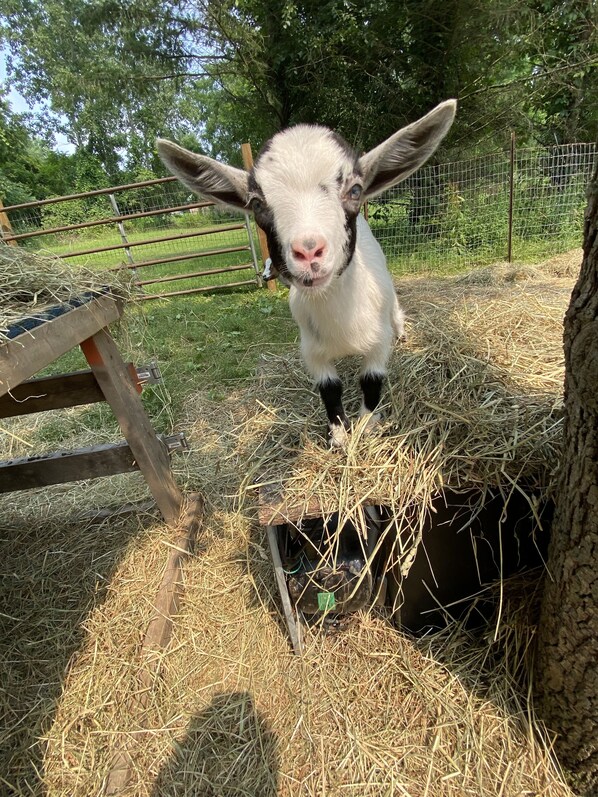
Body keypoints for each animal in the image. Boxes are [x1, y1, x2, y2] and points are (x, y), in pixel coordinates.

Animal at [157, 99, 458, 442]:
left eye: (355, 190)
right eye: (256, 204)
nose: (309, 250)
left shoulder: (378, 344)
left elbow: (371, 382)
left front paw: (366, 427)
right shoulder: (312, 350)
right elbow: (329, 389)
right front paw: (339, 436)